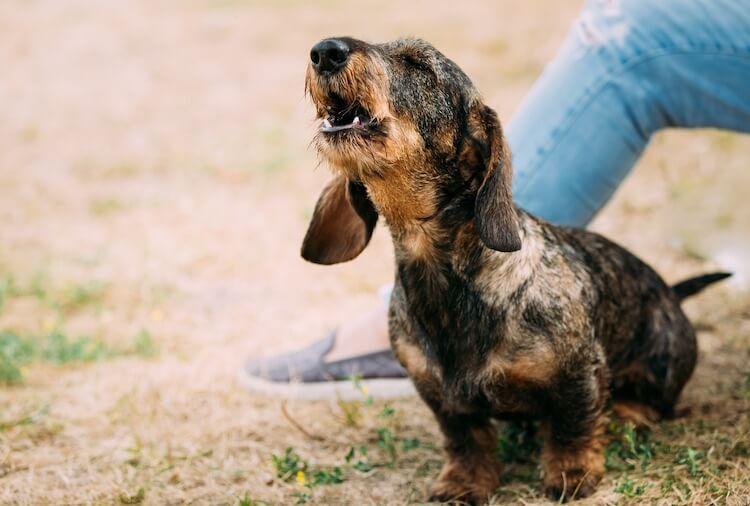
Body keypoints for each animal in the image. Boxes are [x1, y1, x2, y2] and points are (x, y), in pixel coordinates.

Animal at [302, 37, 736, 504]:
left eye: (420, 65)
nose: (325, 50)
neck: (446, 277)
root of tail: (672, 293)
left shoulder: (578, 372)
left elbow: (571, 426)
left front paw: (571, 473)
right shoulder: (439, 394)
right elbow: (465, 438)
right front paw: (465, 480)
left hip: (661, 357)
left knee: (652, 401)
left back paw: (627, 415)